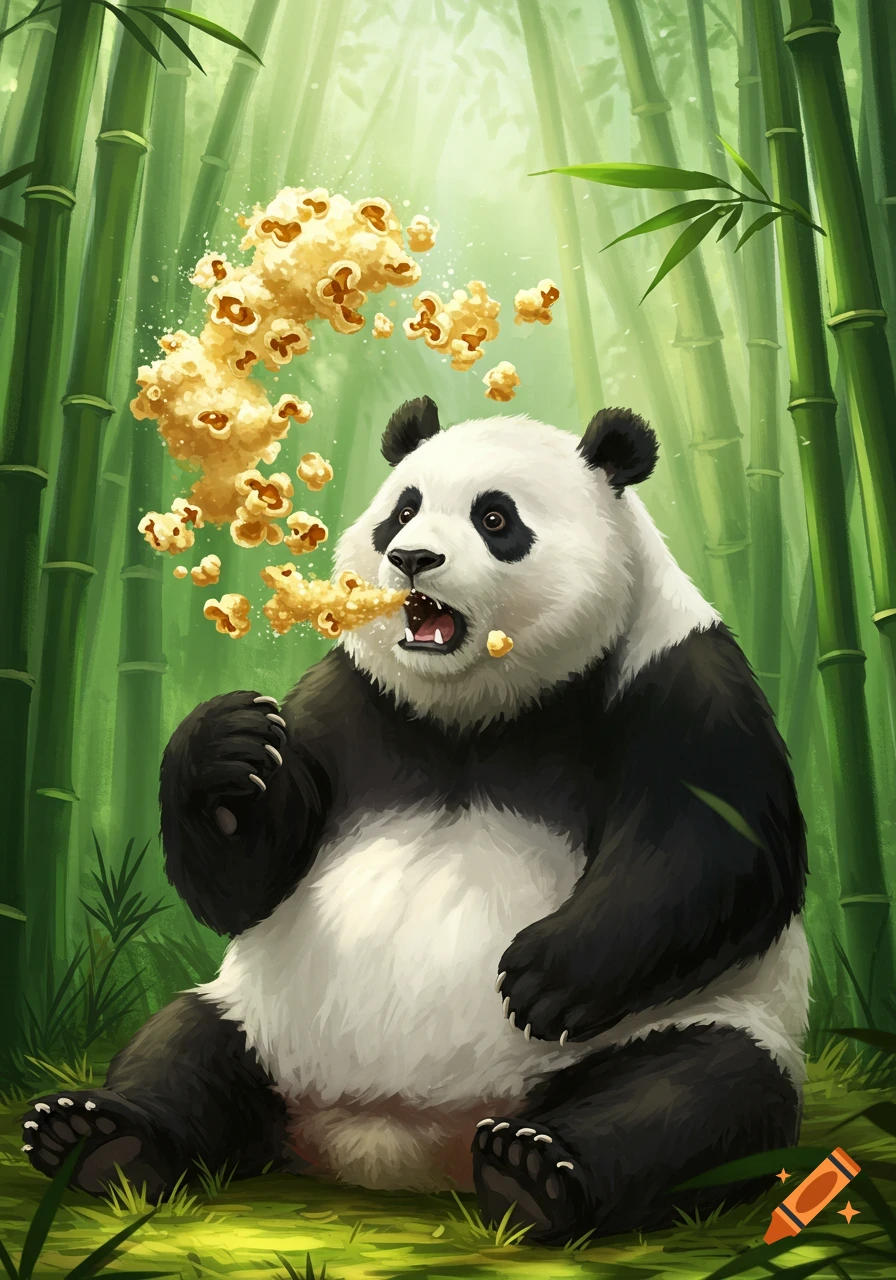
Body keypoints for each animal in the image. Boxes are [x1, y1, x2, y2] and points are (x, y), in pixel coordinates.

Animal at [22, 398, 809, 1246]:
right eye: (402, 510)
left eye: (496, 518)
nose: (412, 558)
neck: (477, 707)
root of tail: (393, 1146)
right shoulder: (348, 698)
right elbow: (251, 883)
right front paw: (226, 746)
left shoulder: (675, 678)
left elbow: (719, 849)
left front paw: (542, 975)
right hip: (262, 1021)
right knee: (182, 1044)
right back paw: (98, 1137)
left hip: (695, 1023)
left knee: (699, 1091)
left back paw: (539, 1170)